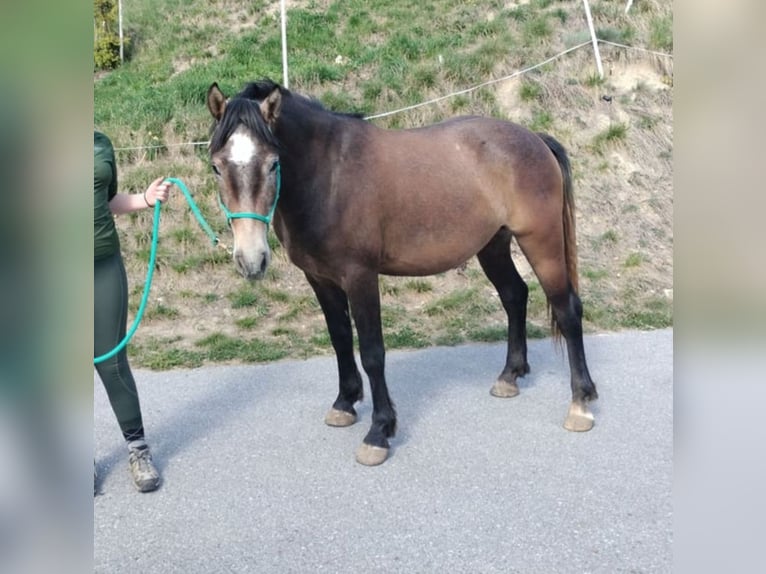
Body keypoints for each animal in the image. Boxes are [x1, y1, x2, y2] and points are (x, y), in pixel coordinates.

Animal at [206, 79, 598, 466]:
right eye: (217, 167)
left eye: (273, 164)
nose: (251, 260)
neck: (330, 174)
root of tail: (534, 139)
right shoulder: (320, 279)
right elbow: (340, 339)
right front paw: (345, 403)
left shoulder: (360, 277)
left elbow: (372, 352)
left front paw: (379, 431)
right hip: (493, 245)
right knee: (515, 295)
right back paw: (509, 376)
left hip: (541, 241)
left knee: (566, 309)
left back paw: (580, 403)